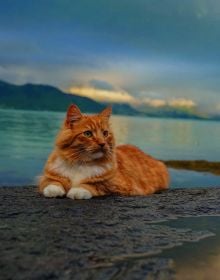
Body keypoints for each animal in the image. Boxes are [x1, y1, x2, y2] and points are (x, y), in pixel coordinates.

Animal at [38, 104, 169, 198]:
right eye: (88, 133)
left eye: (105, 133)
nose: (102, 143)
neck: (81, 162)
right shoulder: (48, 176)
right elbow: (53, 182)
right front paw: (53, 190)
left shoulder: (117, 185)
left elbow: (93, 184)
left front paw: (77, 190)